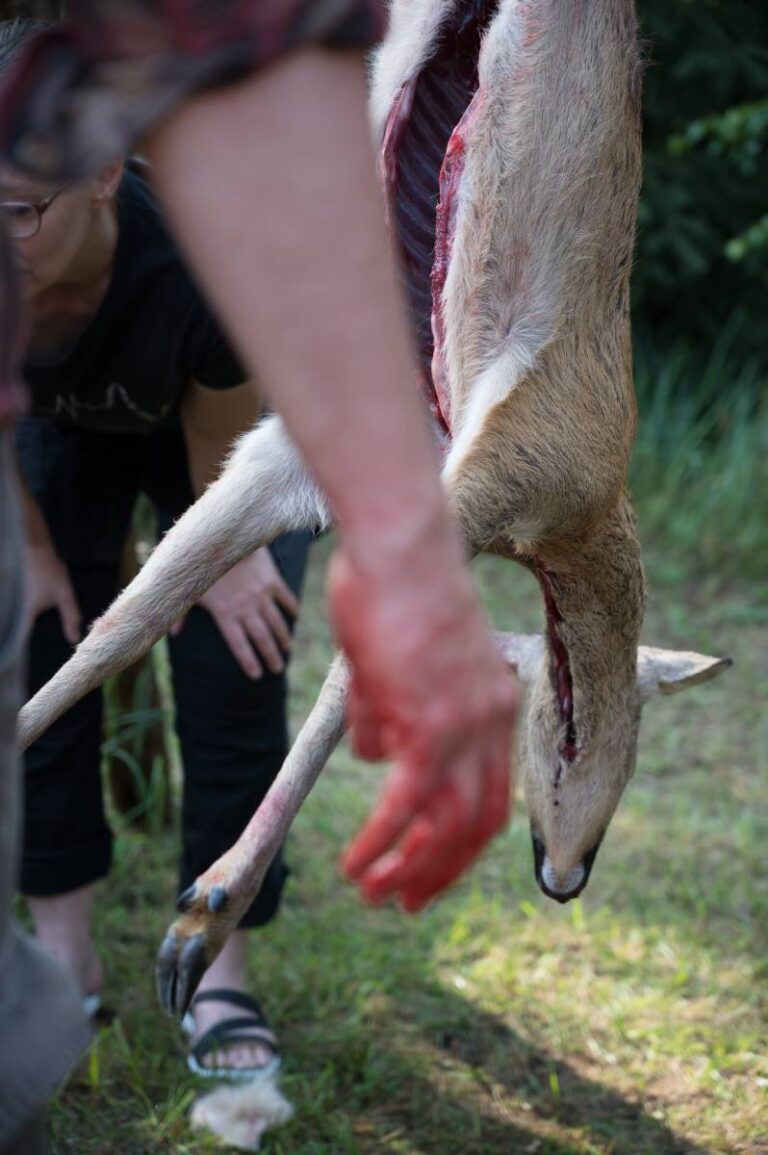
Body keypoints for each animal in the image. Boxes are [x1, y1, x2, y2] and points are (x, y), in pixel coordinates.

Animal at [15, 0, 729, 1020]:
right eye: (572, 734)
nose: (564, 876)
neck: (582, 512)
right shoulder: (480, 487)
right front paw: (200, 920)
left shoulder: (281, 458)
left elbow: (127, 619)